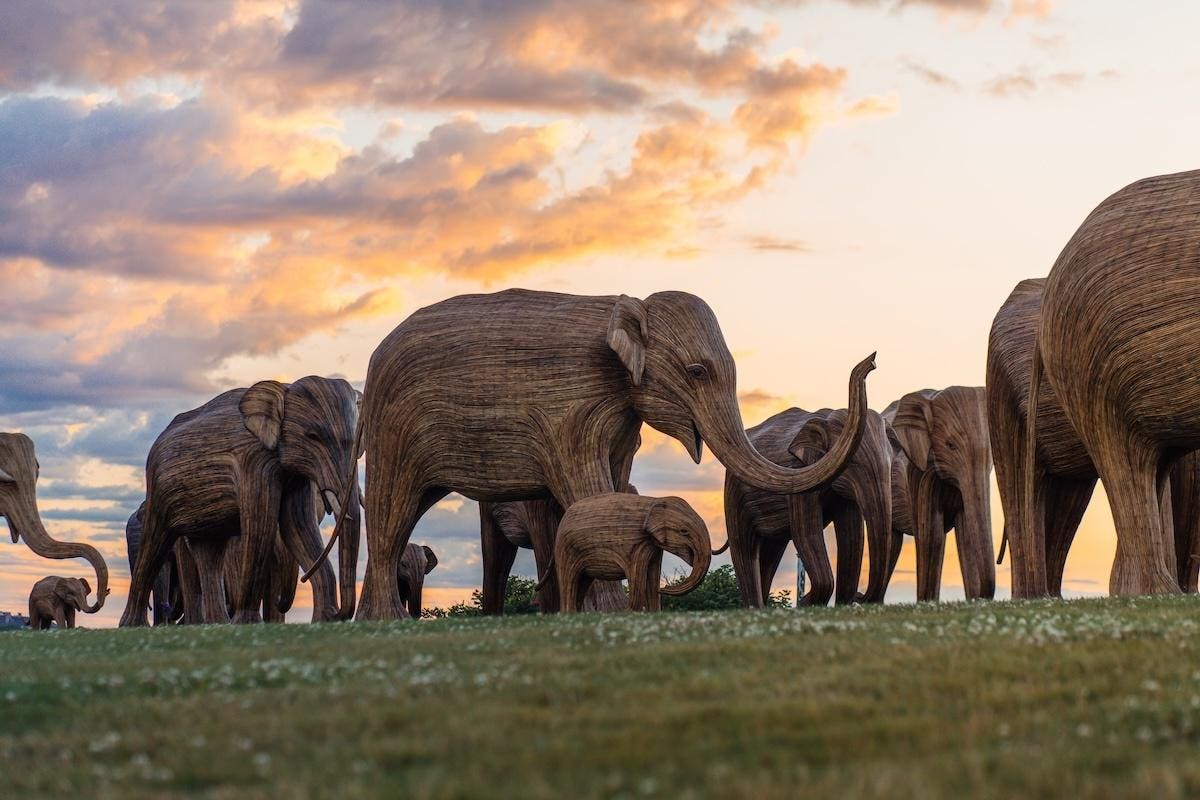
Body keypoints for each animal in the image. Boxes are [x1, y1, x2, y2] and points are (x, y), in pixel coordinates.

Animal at [326, 291, 873, 623]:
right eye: (697, 371)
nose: (869, 359)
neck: (622, 306)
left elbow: (614, 477)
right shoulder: (573, 411)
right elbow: (585, 483)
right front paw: (611, 611)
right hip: (396, 429)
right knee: (393, 511)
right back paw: (386, 622)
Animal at [715, 410, 897, 604]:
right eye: (852, 461)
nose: (860, 596)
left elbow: (852, 537)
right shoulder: (800, 473)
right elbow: (806, 534)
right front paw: (806, 602)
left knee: (770, 552)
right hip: (735, 494)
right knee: (745, 548)